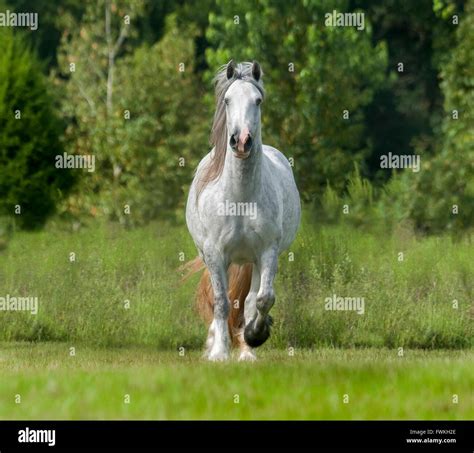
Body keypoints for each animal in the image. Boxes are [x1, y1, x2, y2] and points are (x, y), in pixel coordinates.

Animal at [185, 60, 300, 360]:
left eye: (257, 101)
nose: (241, 141)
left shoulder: (266, 252)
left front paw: (254, 338)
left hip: (253, 260)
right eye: (227, 100)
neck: (239, 198)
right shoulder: (215, 254)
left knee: (250, 299)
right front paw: (218, 353)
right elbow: (221, 301)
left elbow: (261, 299)